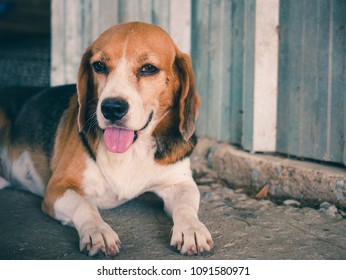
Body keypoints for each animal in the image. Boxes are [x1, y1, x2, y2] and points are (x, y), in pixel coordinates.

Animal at [0, 22, 214, 256]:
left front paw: (192, 228)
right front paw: (98, 231)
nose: (112, 108)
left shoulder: (179, 182)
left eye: (149, 68)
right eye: (99, 66)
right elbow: (85, 205)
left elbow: (186, 205)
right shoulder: (58, 187)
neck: (132, 150)